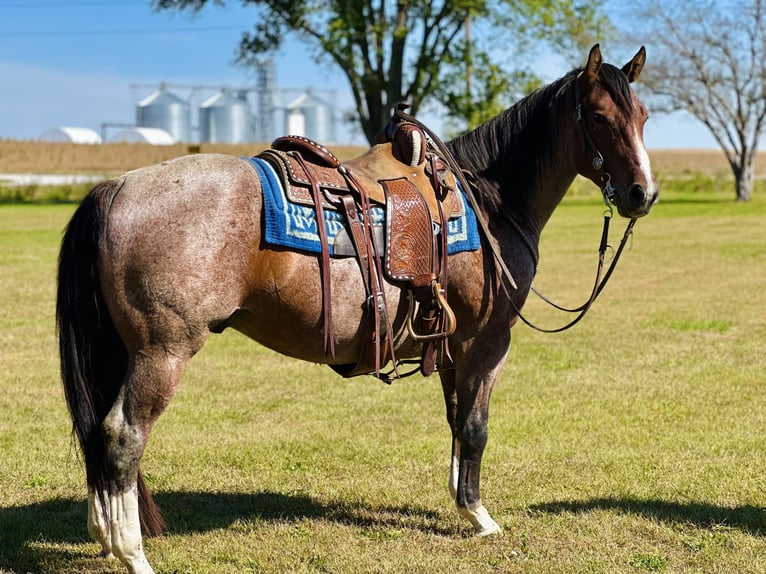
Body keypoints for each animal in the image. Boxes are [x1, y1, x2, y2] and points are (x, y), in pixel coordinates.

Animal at [58, 46, 660, 574]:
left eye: (644, 115)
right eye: (599, 116)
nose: (642, 194)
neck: (488, 201)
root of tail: (117, 187)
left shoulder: (451, 346)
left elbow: (455, 423)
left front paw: (460, 503)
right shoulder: (485, 343)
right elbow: (475, 427)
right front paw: (480, 516)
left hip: (124, 351)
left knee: (99, 437)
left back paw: (104, 536)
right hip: (162, 353)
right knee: (121, 437)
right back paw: (133, 554)